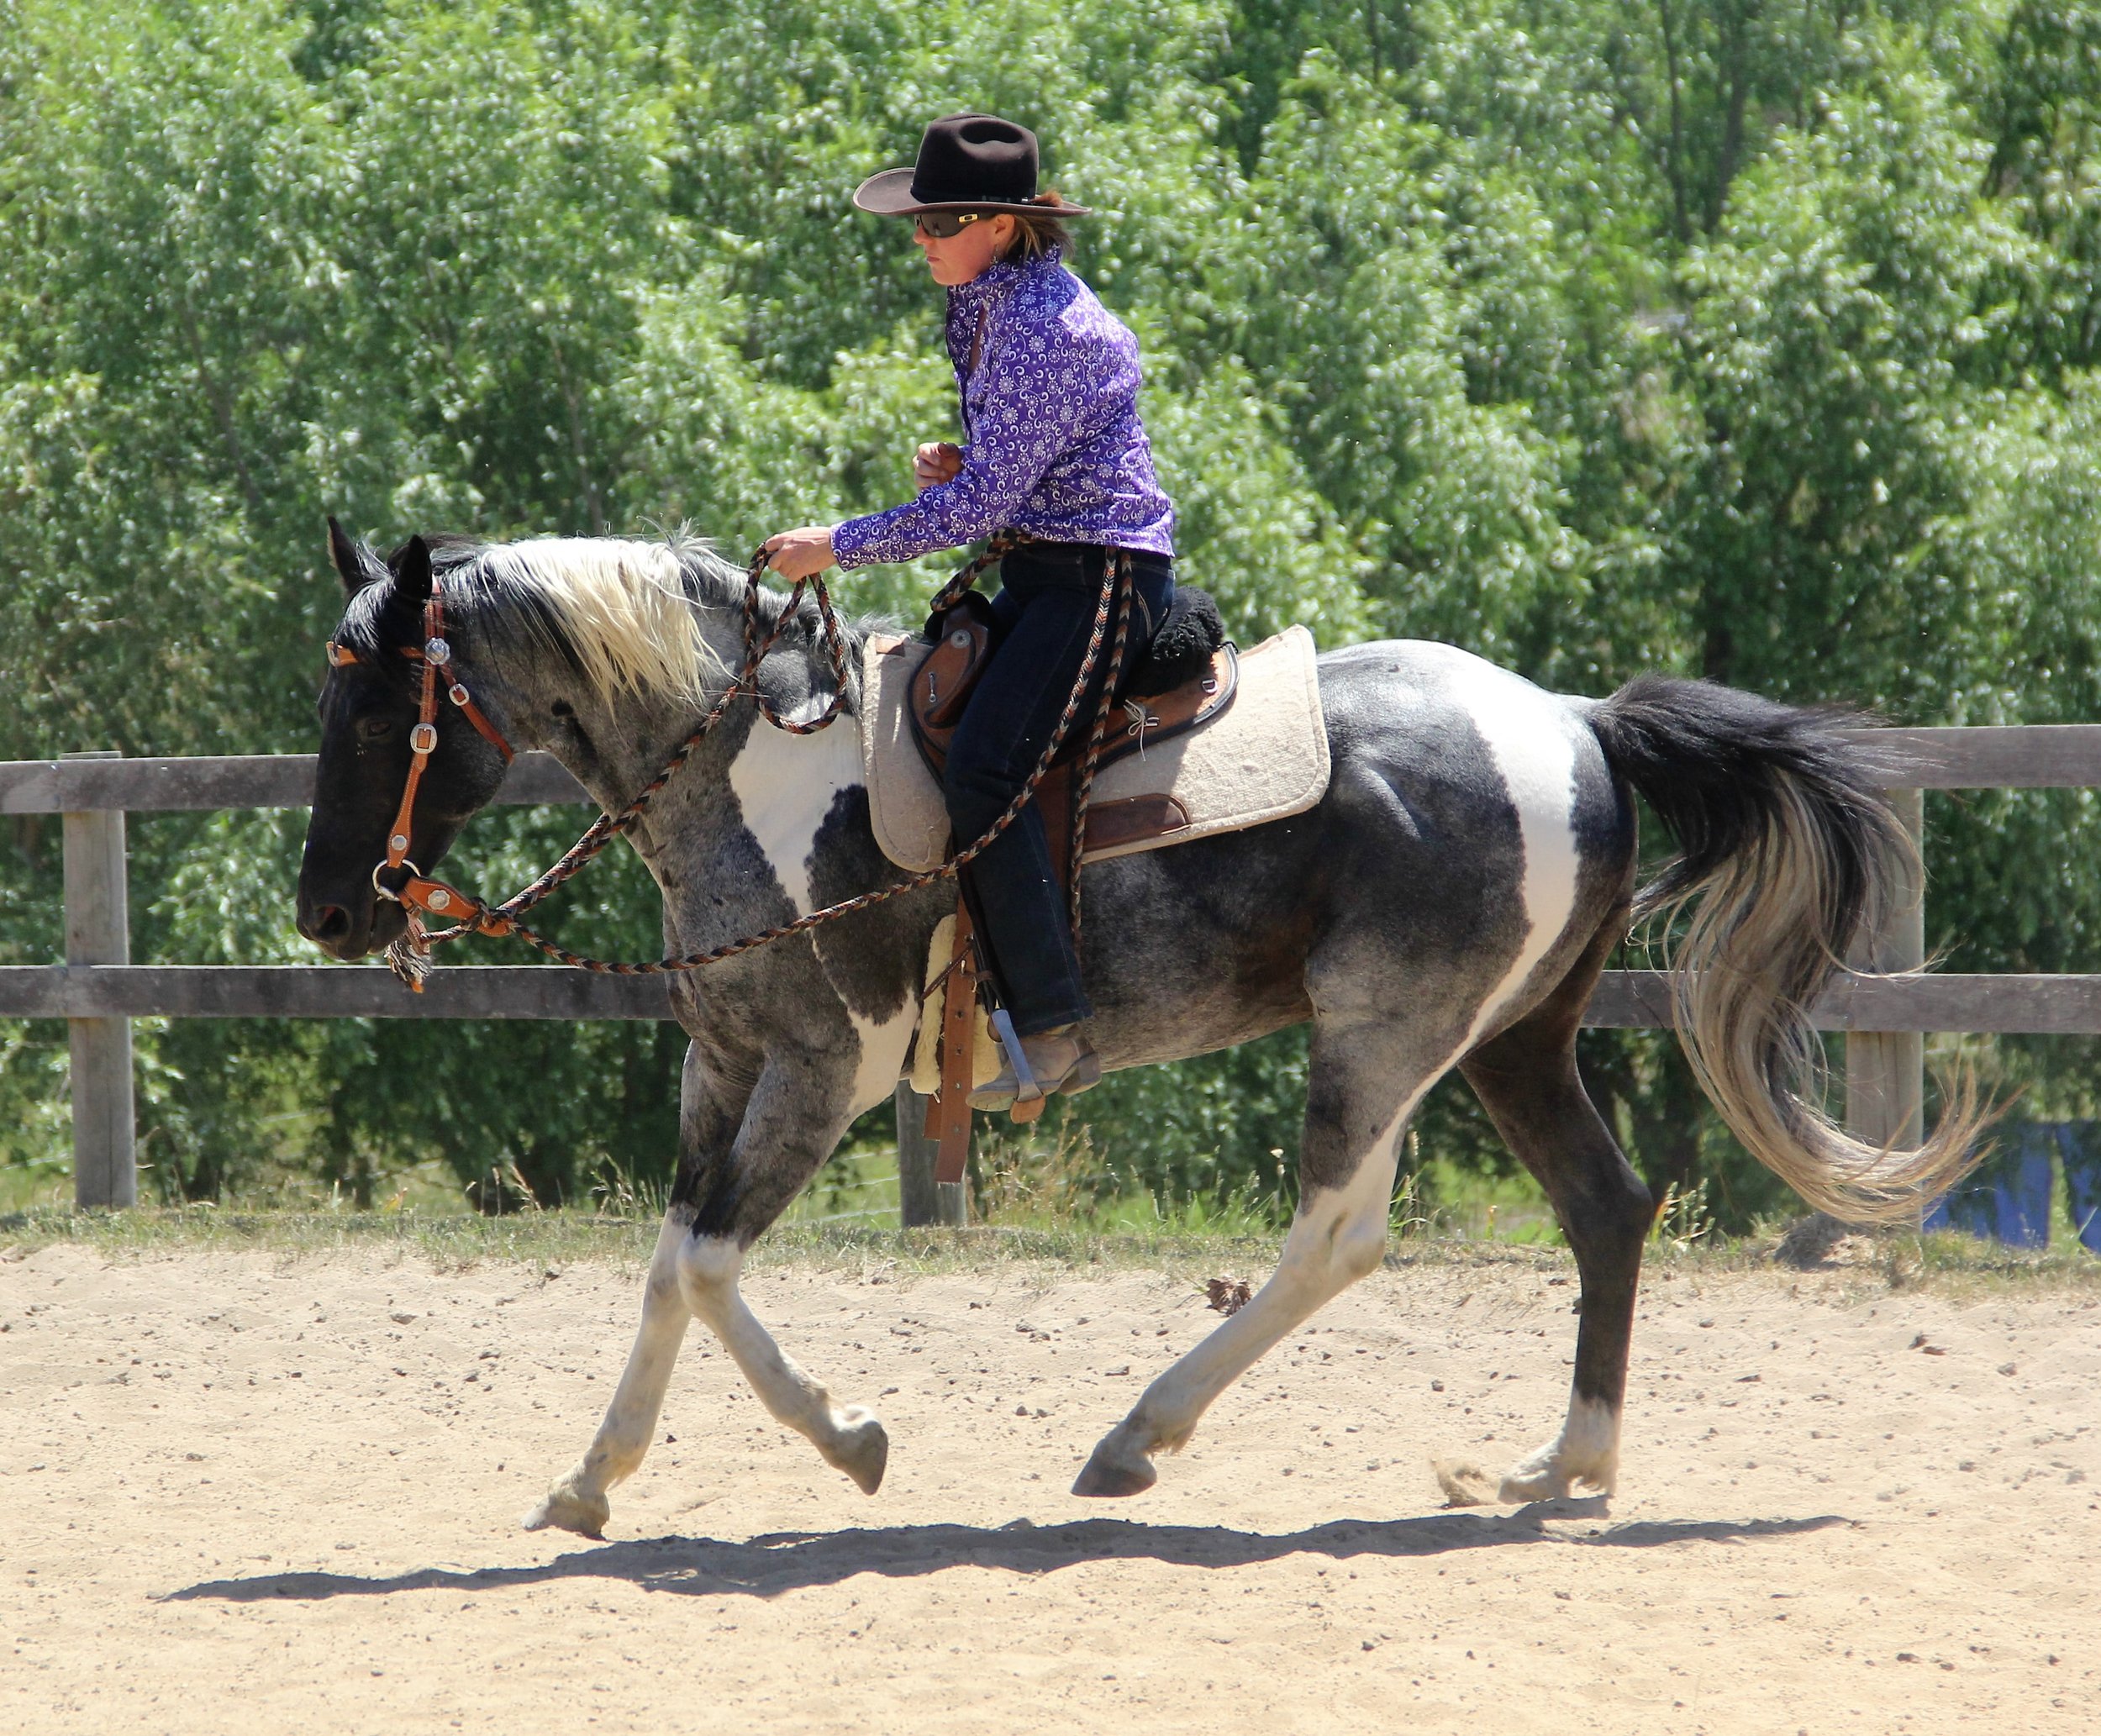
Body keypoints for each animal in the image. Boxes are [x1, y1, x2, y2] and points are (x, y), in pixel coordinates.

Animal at [300, 527, 1983, 1529]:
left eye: (381, 711)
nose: (327, 909)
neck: (756, 777)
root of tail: (1575, 720)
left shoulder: (826, 1070)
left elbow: (709, 1269)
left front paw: (851, 1437)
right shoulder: (727, 1063)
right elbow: (666, 1269)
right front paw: (589, 1480)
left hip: (1385, 1034)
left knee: (1338, 1235)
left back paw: (1135, 1437)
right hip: (1517, 1040)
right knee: (1607, 1208)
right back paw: (1558, 1466)